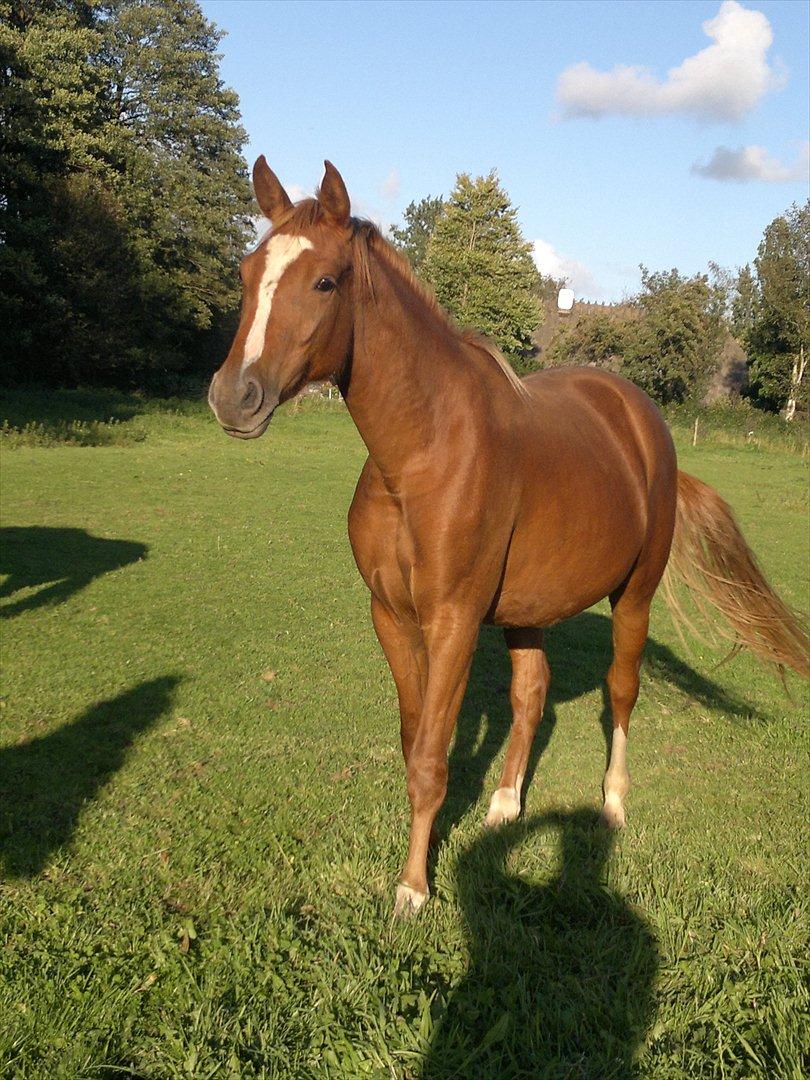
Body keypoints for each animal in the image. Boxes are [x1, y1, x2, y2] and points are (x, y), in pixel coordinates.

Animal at [207, 157, 807, 920]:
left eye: (324, 282)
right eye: (248, 272)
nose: (234, 397)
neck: (423, 454)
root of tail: (640, 416)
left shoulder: (454, 621)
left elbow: (430, 758)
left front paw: (413, 887)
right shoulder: (392, 618)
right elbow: (415, 742)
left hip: (634, 598)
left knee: (621, 692)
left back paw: (613, 803)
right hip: (529, 608)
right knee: (532, 695)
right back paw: (505, 802)